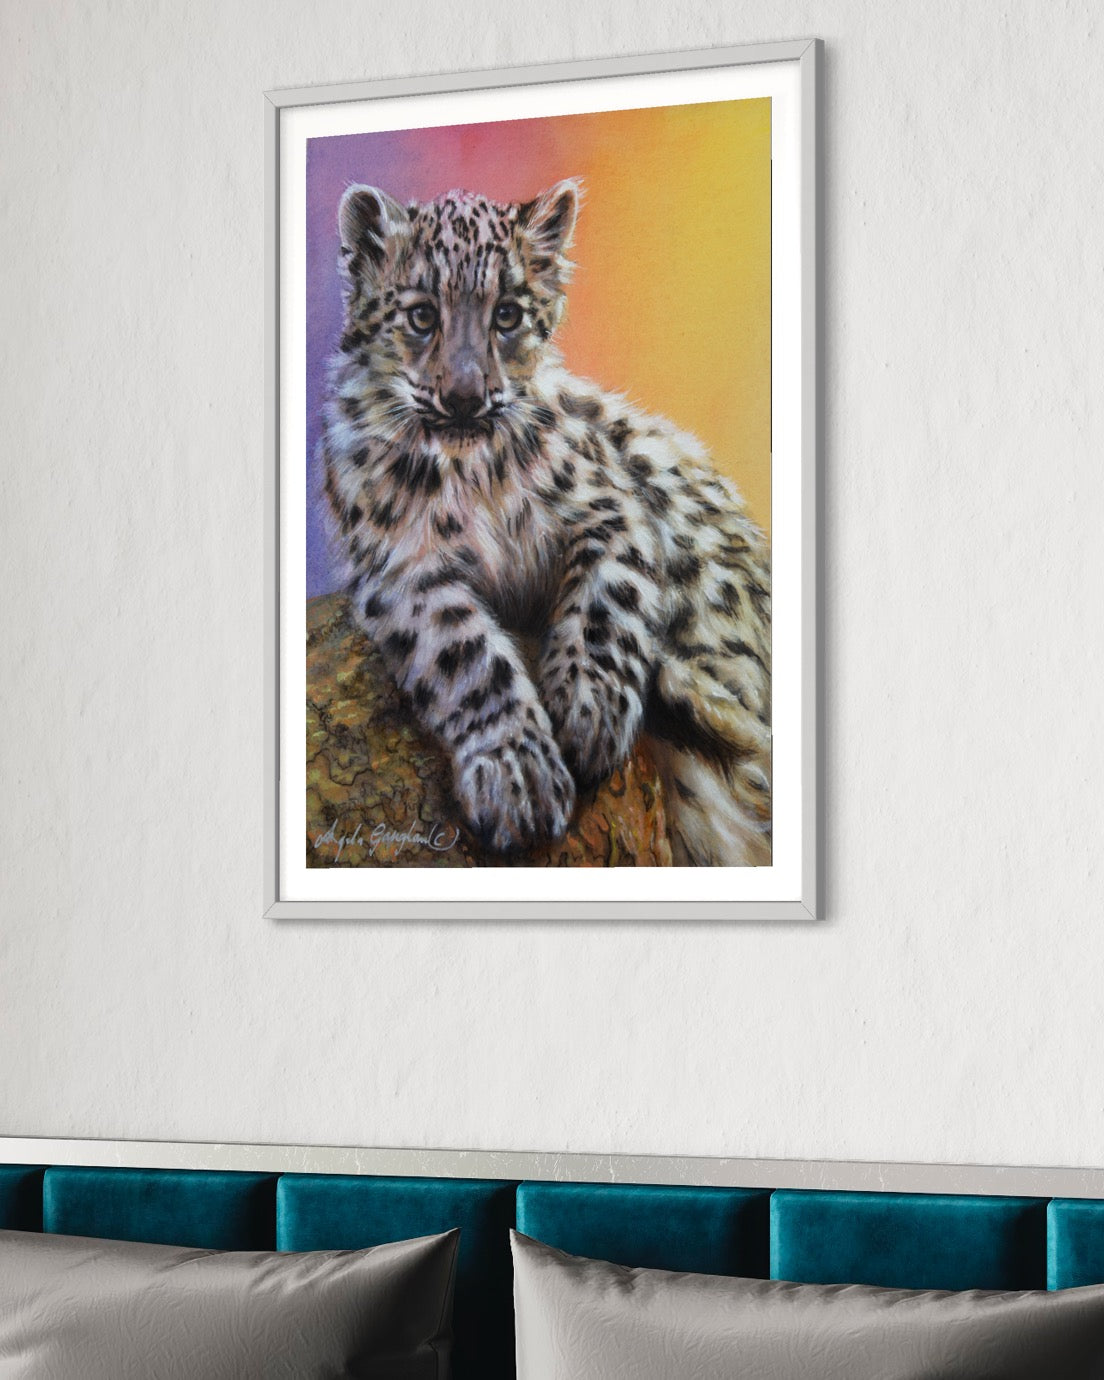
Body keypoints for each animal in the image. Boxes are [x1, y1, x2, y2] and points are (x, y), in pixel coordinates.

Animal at [318, 178, 771, 866]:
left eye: (507, 314)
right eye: (421, 315)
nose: (465, 397)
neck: (472, 475)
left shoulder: (610, 505)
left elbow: (606, 601)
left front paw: (592, 713)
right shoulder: (401, 564)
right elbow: (465, 652)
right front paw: (519, 776)